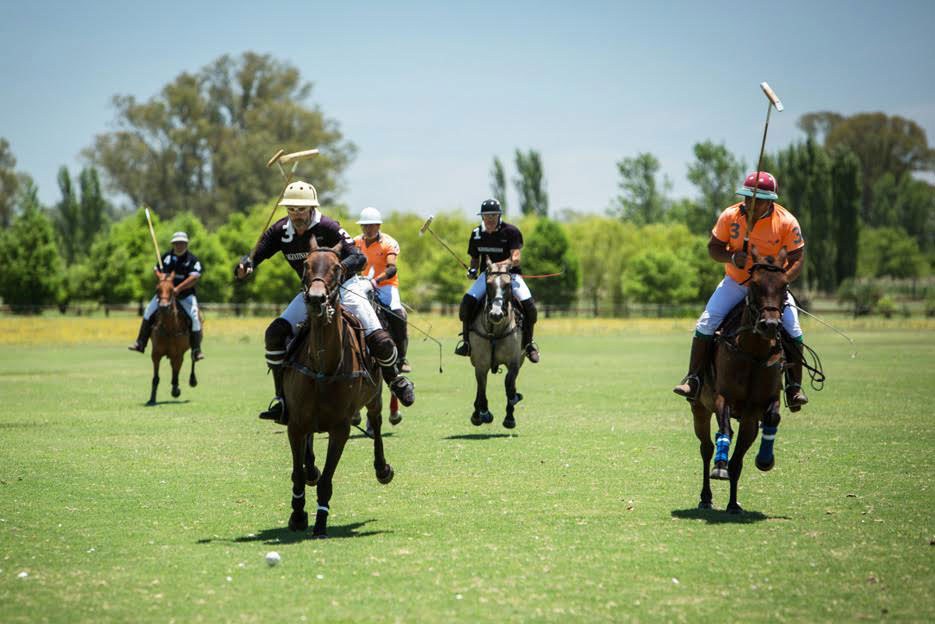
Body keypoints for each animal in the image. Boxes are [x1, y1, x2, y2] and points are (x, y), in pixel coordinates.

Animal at [146, 272, 197, 404]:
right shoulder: (156, 354)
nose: (164, 307)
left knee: (192, 359)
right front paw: (152, 399)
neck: (169, 327)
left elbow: (176, 373)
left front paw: (175, 390)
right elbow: (156, 378)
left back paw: (192, 380)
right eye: (157, 289)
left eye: (172, 290)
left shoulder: (178, 354)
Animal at [282, 236, 392, 540]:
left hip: (375, 397)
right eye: (305, 265)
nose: (316, 299)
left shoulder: (340, 428)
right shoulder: (295, 424)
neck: (323, 366)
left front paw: (320, 522)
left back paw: (382, 469)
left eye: (336, 268)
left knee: (377, 424)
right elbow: (298, 473)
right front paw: (298, 514)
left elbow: (327, 481)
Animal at [468, 258, 528, 428]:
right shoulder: (481, 363)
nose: (496, 314)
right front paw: (483, 413)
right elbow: (482, 387)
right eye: (488, 284)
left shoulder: (514, 362)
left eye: (507, 285)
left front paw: (510, 417)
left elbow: (509, 385)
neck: (496, 330)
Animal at [696, 246, 788, 516]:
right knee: (706, 447)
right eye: (755, 284)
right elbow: (725, 430)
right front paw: (720, 467)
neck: (754, 351)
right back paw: (706, 496)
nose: (770, 325)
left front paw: (765, 460)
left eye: (785, 285)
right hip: (699, 408)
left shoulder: (758, 408)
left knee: (736, 457)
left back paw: (733, 503)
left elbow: (771, 418)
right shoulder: (722, 397)